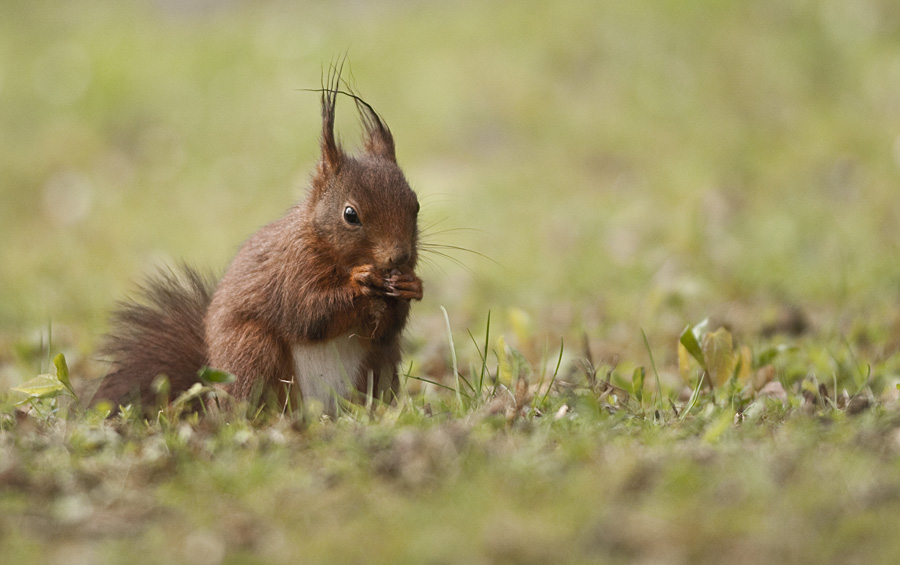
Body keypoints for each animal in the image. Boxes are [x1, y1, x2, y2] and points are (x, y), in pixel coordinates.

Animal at [93, 67, 424, 414]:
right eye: (350, 215)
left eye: (415, 205)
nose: (399, 257)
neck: (324, 243)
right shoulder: (291, 271)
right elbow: (308, 312)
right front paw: (360, 280)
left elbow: (386, 329)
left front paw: (412, 286)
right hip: (254, 351)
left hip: (378, 365)